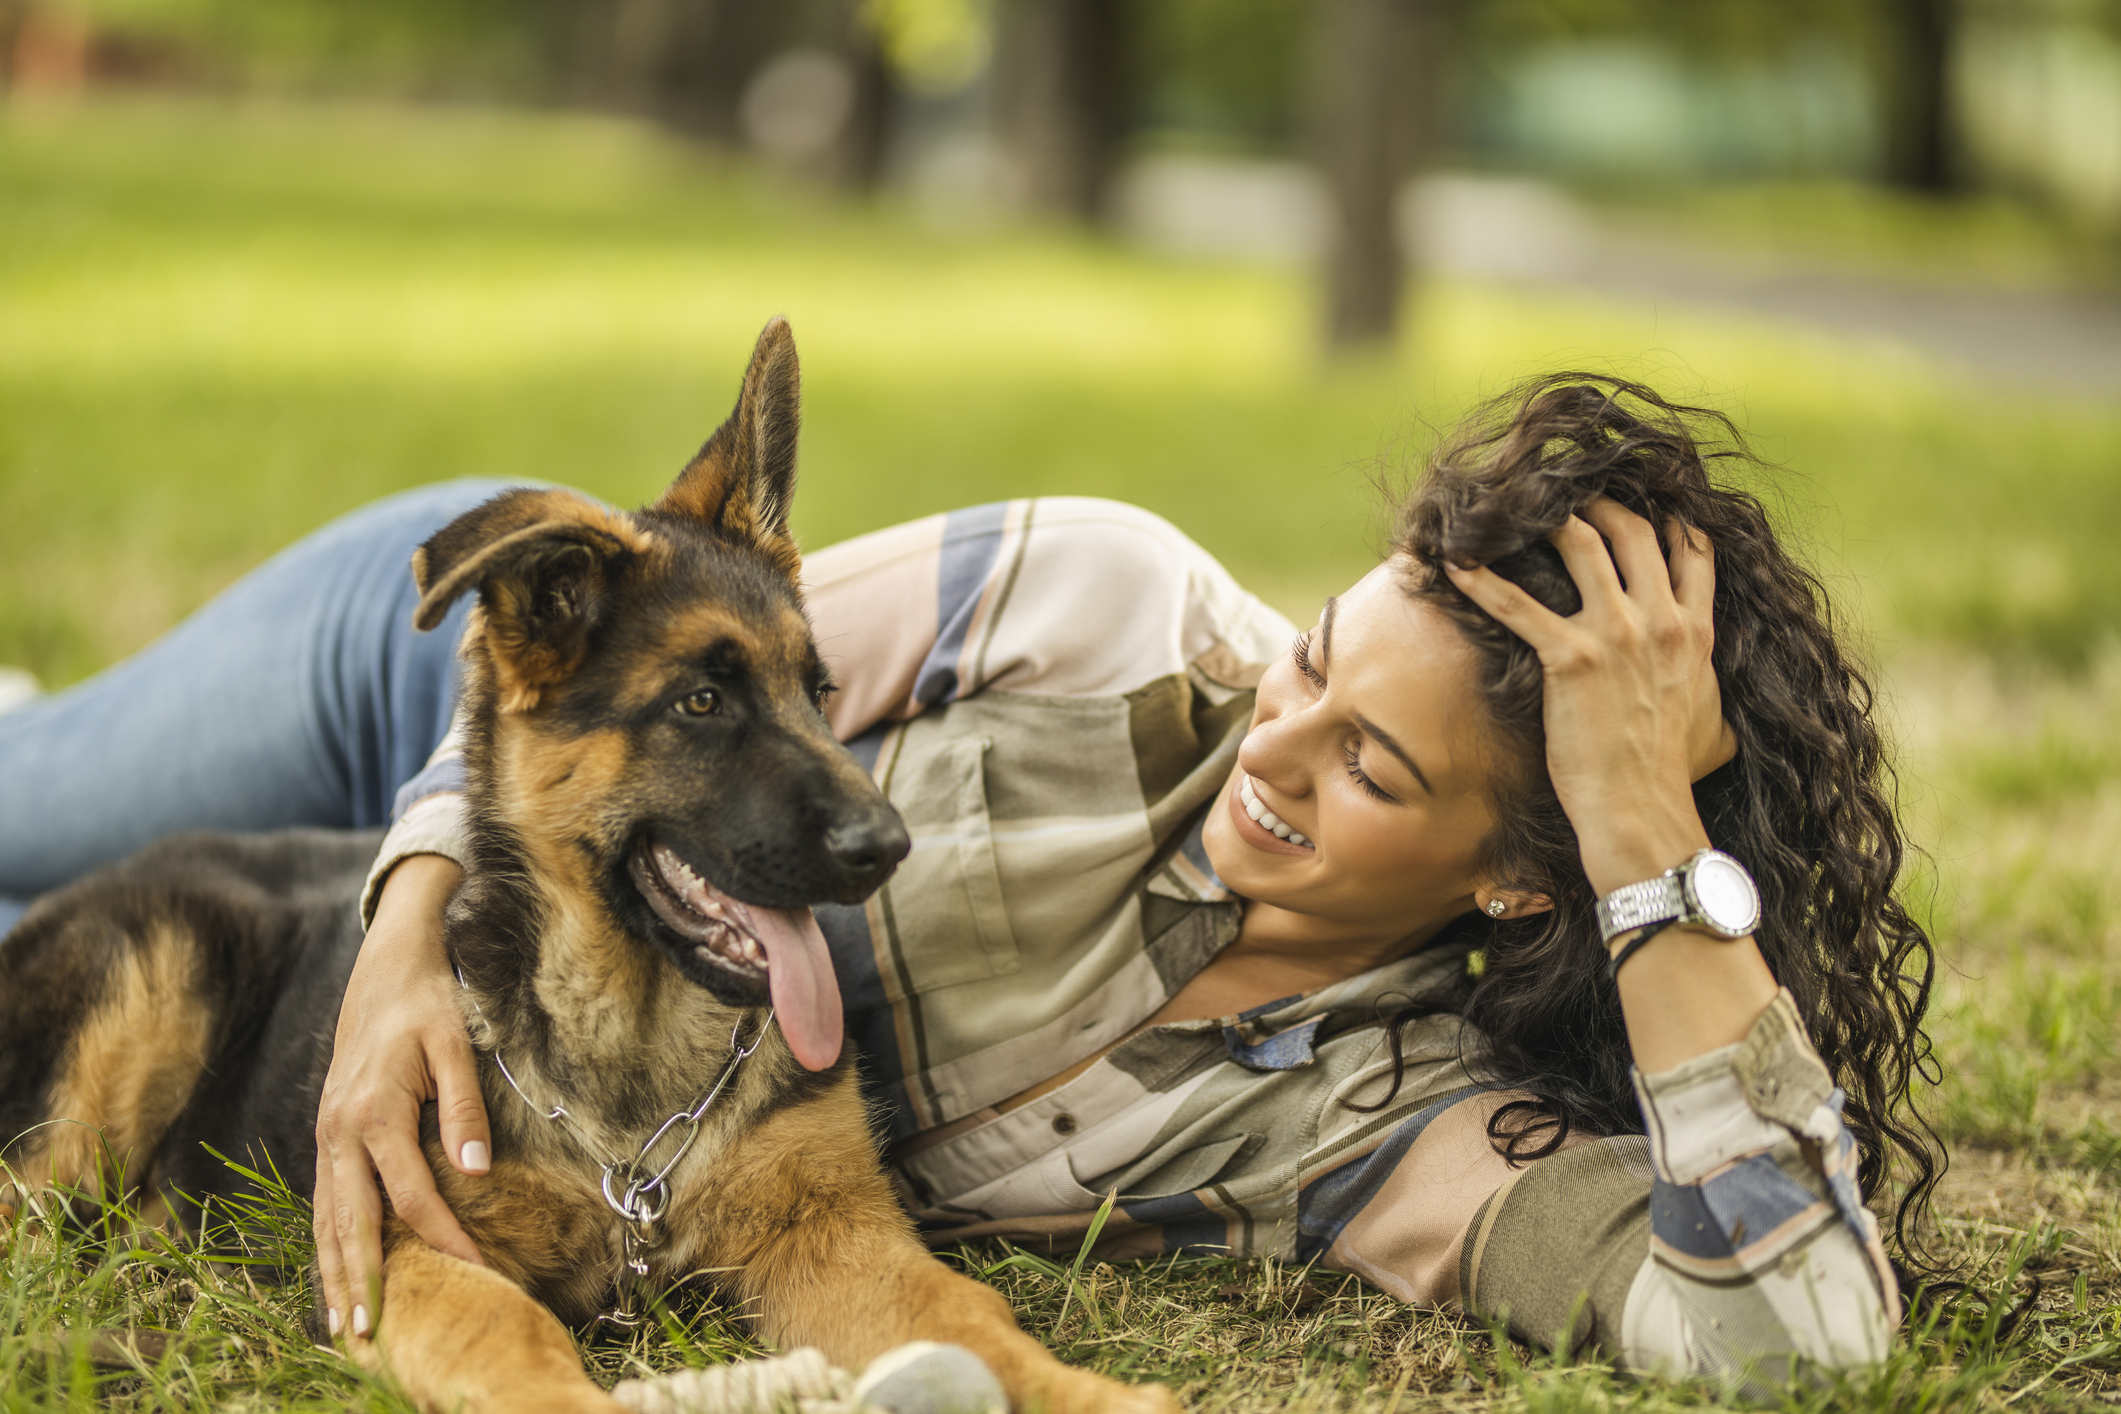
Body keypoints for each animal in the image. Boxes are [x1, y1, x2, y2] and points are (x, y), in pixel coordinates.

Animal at [0, 317, 1179, 1414]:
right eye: (700, 702)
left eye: (819, 694)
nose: (887, 846)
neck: (634, 1054)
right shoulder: (411, 1250)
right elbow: (508, 1334)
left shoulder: (833, 1230)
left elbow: (963, 1314)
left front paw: (1093, 1397)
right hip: (138, 1001)